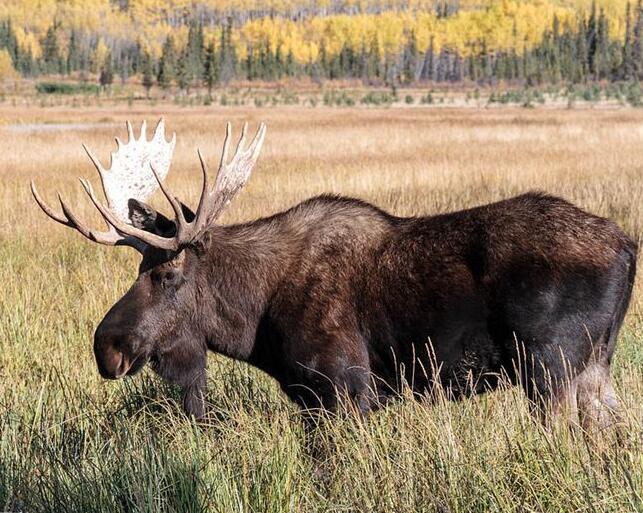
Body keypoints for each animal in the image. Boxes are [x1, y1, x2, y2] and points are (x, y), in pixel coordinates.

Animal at [32, 119, 637, 434]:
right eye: (140, 268)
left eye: (167, 274)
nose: (106, 346)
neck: (256, 321)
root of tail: (629, 247)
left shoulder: (345, 389)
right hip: (595, 368)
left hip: (550, 369)